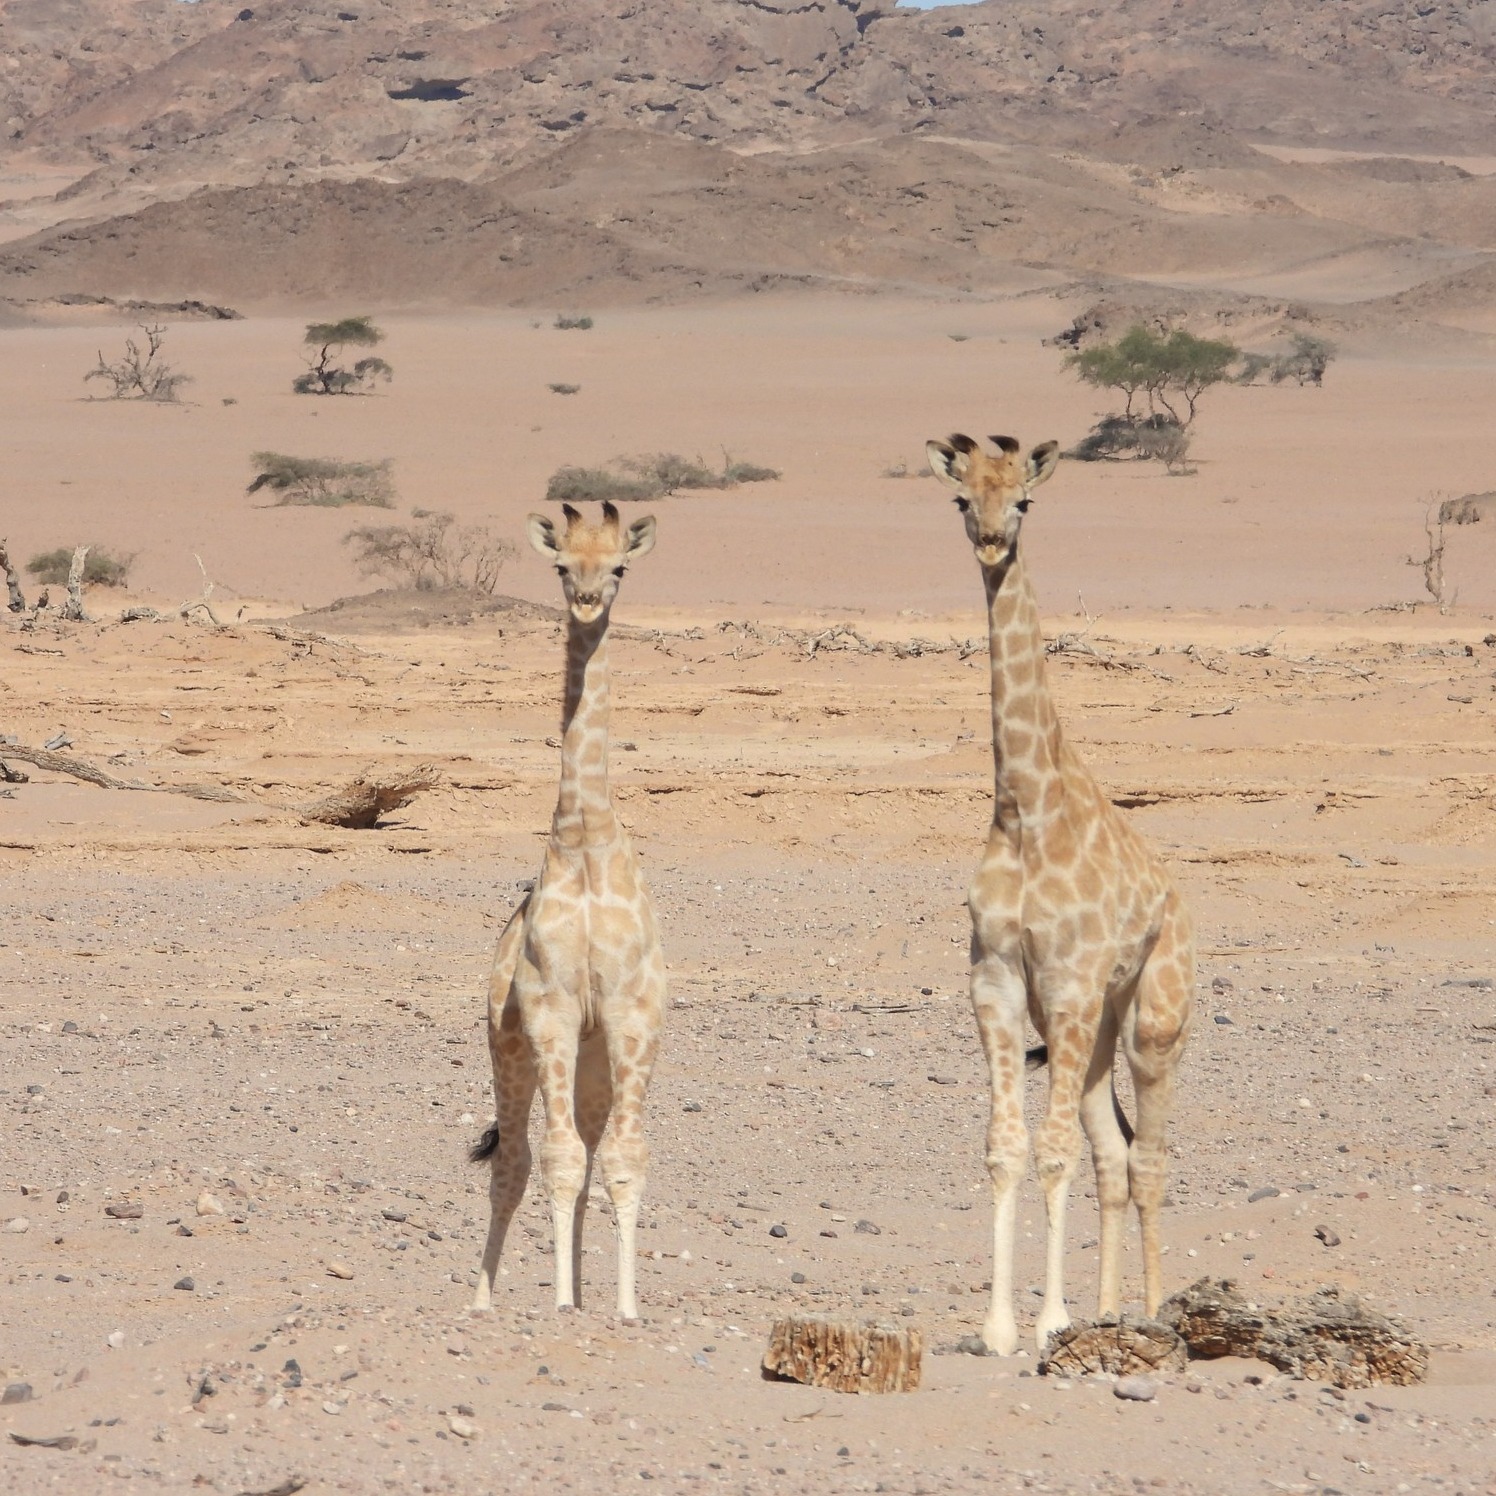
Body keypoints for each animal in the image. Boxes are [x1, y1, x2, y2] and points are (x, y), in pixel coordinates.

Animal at [926, 433, 1194, 1356]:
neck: (1024, 808)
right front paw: (1001, 1326)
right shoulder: (1001, 985)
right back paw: (1111, 1311)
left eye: (1026, 500)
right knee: (1113, 1153)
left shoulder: (1071, 985)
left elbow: (1052, 1152)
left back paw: (1152, 1311)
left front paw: (1049, 1320)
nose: (991, 542)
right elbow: (1006, 1146)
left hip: (1150, 1019)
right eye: (961, 497)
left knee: (1147, 1159)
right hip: (1099, 1028)